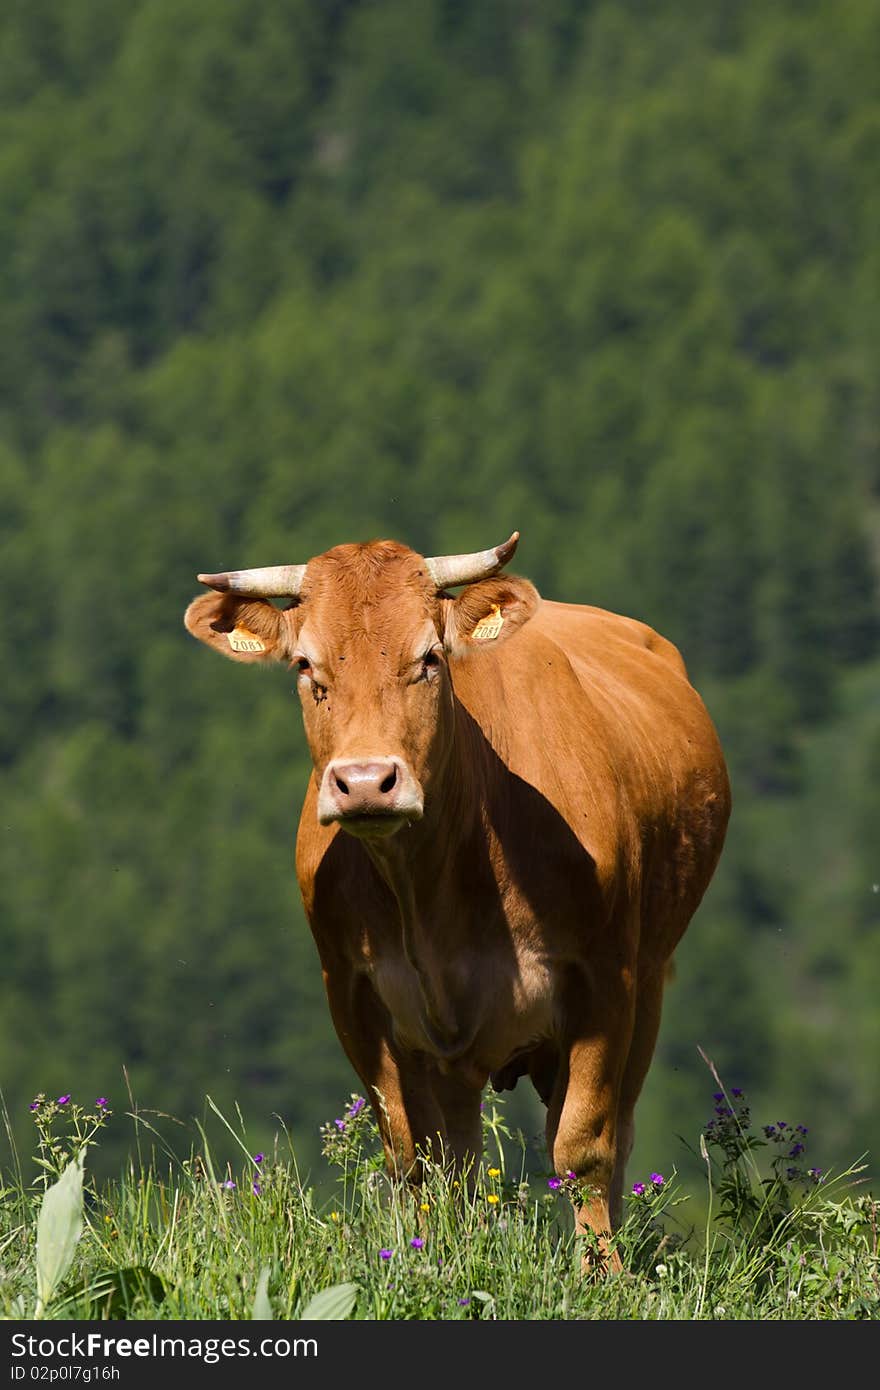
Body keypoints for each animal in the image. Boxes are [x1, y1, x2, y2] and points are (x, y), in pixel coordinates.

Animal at [183, 530, 728, 1273]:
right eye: (305, 666)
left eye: (430, 659)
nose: (365, 782)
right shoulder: (354, 995)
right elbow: (412, 1156)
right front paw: (423, 1261)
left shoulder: (605, 978)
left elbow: (584, 1145)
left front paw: (601, 1275)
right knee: (462, 1159)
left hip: (648, 982)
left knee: (613, 1132)